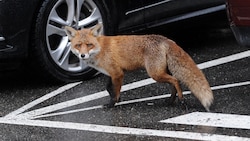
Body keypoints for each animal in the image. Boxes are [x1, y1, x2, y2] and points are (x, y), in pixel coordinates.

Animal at [64, 24, 213, 112]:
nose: (83, 55)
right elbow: (108, 88)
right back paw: (170, 101)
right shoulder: (111, 73)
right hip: (161, 72)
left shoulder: (118, 73)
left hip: (155, 73)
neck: (100, 49)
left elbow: (115, 91)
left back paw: (181, 101)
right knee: (173, 83)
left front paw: (112, 103)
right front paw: (116, 98)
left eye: (89, 45)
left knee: (176, 80)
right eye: (78, 45)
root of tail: (166, 39)